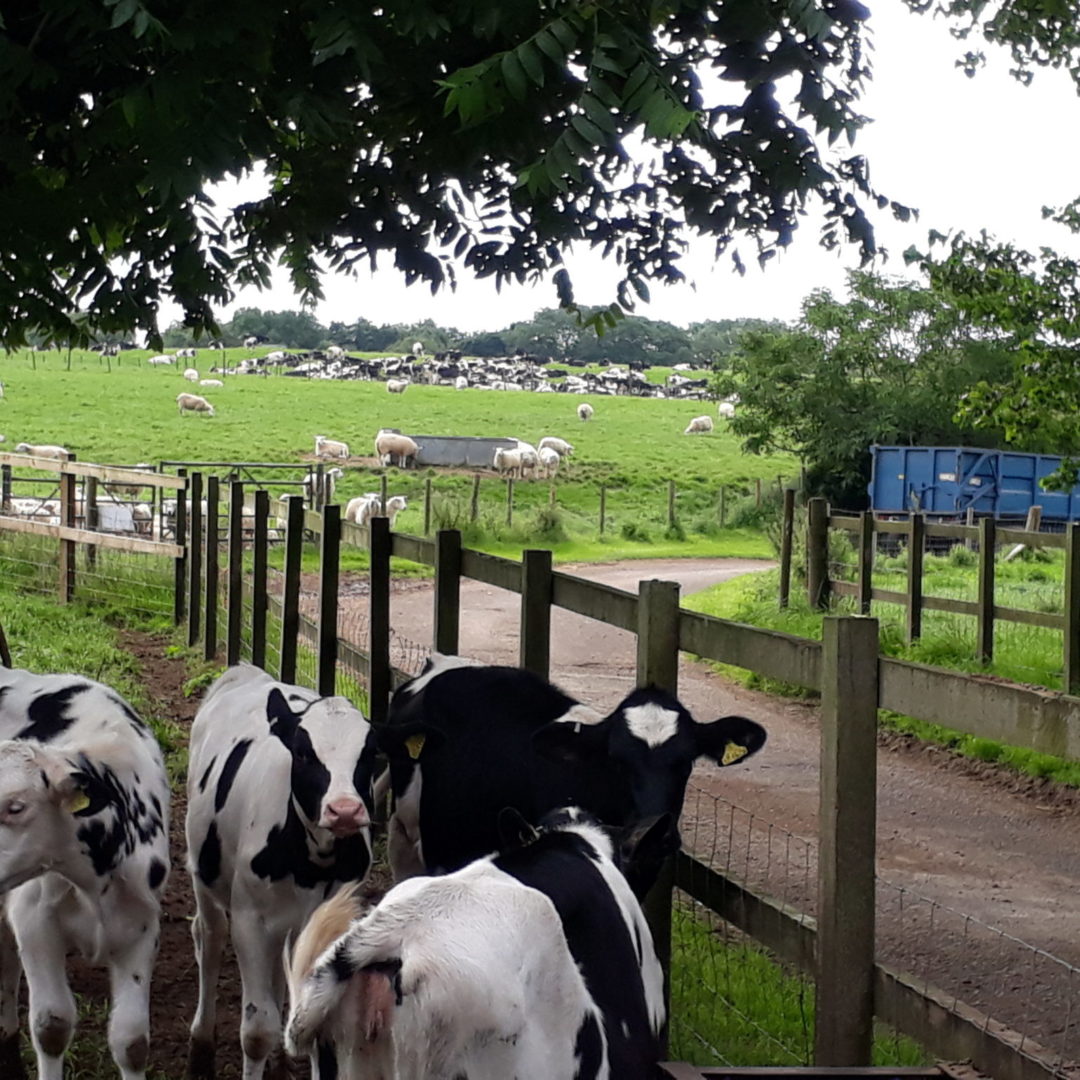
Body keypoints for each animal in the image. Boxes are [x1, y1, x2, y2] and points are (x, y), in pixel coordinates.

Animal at [187, 665, 382, 1080]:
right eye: (304, 752)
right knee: (209, 938)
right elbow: (257, 1030)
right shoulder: (250, 920)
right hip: (203, 875)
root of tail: (244, 670)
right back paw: (201, 1045)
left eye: (371, 753)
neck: (312, 861)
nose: (344, 810)